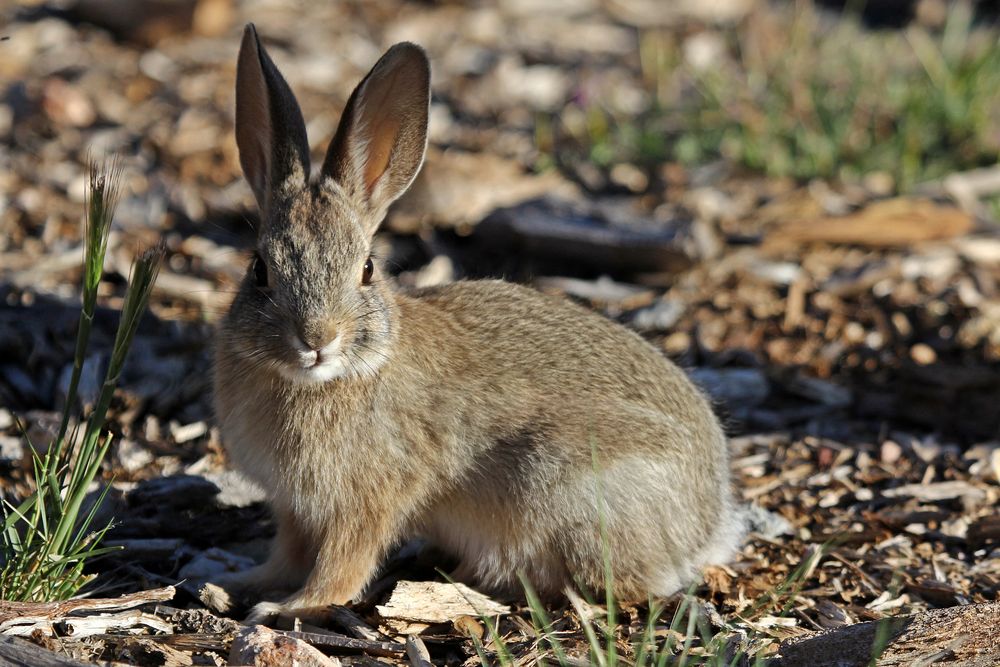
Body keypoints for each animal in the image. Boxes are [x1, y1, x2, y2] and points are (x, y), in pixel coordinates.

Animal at [207, 22, 744, 628]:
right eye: (259, 269)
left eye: (367, 270)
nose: (317, 340)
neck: (333, 378)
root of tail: (708, 522)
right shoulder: (296, 509)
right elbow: (287, 553)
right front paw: (242, 582)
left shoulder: (367, 501)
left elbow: (343, 565)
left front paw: (287, 607)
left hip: (561, 485)